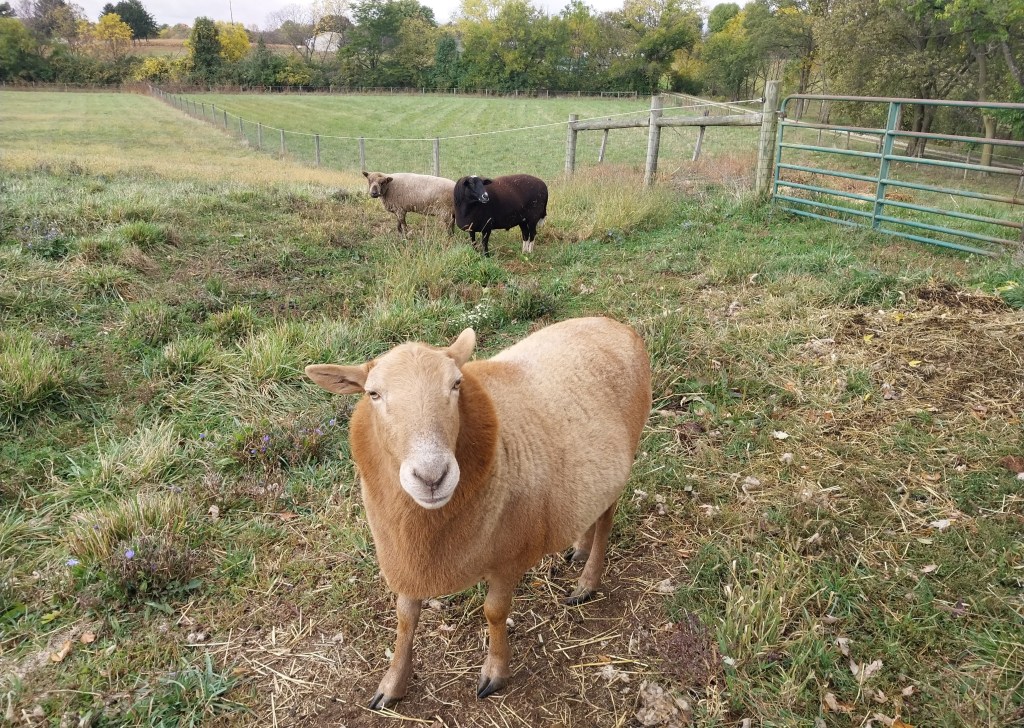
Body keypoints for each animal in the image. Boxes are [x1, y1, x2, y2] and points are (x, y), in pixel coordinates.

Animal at [305, 316, 652, 709]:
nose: (432, 476)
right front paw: (392, 685)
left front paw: (495, 672)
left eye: (456, 384)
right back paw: (578, 546)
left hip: (622, 459)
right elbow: (405, 618)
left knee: (606, 518)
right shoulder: (407, 558)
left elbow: (494, 612)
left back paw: (587, 582)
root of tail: (614, 324)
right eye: (373, 394)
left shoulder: (508, 556)